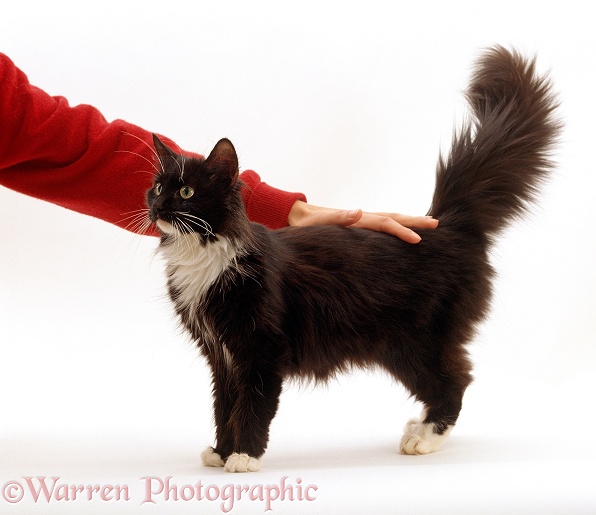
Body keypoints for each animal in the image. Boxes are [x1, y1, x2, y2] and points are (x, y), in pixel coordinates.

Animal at [144, 46, 560, 474]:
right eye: (157, 187)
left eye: (187, 192)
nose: (157, 206)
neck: (203, 253)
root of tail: (445, 225)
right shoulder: (221, 356)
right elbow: (224, 406)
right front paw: (221, 450)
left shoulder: (260, 349)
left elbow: (252, 406)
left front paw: (243, 455)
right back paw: (420, 426)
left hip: (418, 339)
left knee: (457, 380)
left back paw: (425, 437)